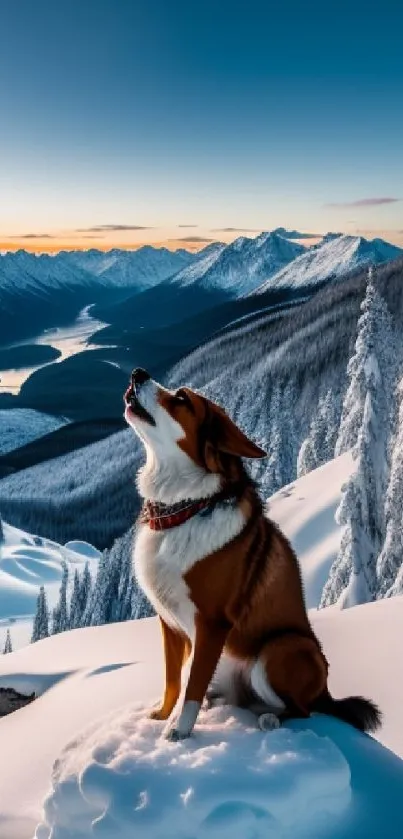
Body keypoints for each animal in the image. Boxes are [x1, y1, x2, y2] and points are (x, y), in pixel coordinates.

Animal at [125, 368, 382, 740]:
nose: (138, 373)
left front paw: (180, 731)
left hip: (280, 649)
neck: (185, 508)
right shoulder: (169, 624)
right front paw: (160, 716)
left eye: (181, 399)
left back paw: (271, 719)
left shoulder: (212, 623)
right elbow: (174, 681)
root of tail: (326, 691)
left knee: (302, 710)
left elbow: (192, 686)